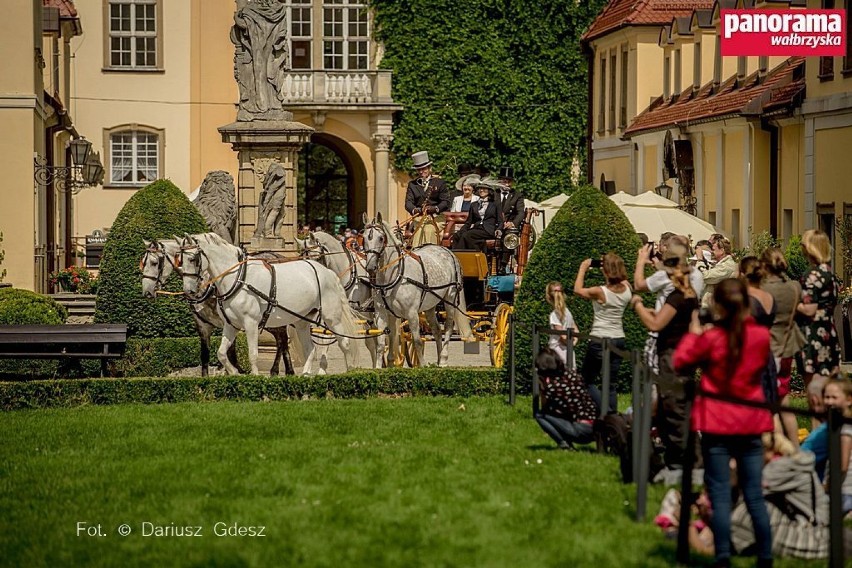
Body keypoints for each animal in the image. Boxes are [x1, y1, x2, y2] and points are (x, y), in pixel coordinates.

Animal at [176, 233, 360, 374]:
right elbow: (221, 353)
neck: (238, 278)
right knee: (310, 349)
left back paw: (350, 371)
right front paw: (234, 372)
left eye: (193, 259)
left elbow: (253, 355)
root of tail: (328, 272)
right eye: (180, 260)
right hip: (302, 321)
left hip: (332, 319)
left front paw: (254, 377)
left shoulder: (250, 324)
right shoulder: (231, 325)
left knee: (344, 343)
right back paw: (306, 375)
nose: (189, 290)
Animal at [296, 231, 382, 368]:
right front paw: (323, 367)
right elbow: (327, 336)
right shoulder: (331, 313)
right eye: (304, 260)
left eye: (318, 258)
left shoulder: (357, 314)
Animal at [360, 211, 472, 366]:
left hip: (450, 299)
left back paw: (443, 359)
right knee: (437, 330)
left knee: (448, 327)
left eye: (381, 238)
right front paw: (378, 367)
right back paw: (438, 359)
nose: (371, 267)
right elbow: (382, 344)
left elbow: (417, 341)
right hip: (430, 305)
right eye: (364, 238)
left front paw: (422, 366)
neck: (396, 275)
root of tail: (447, 251)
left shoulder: (412, 313)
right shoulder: (381, 313)